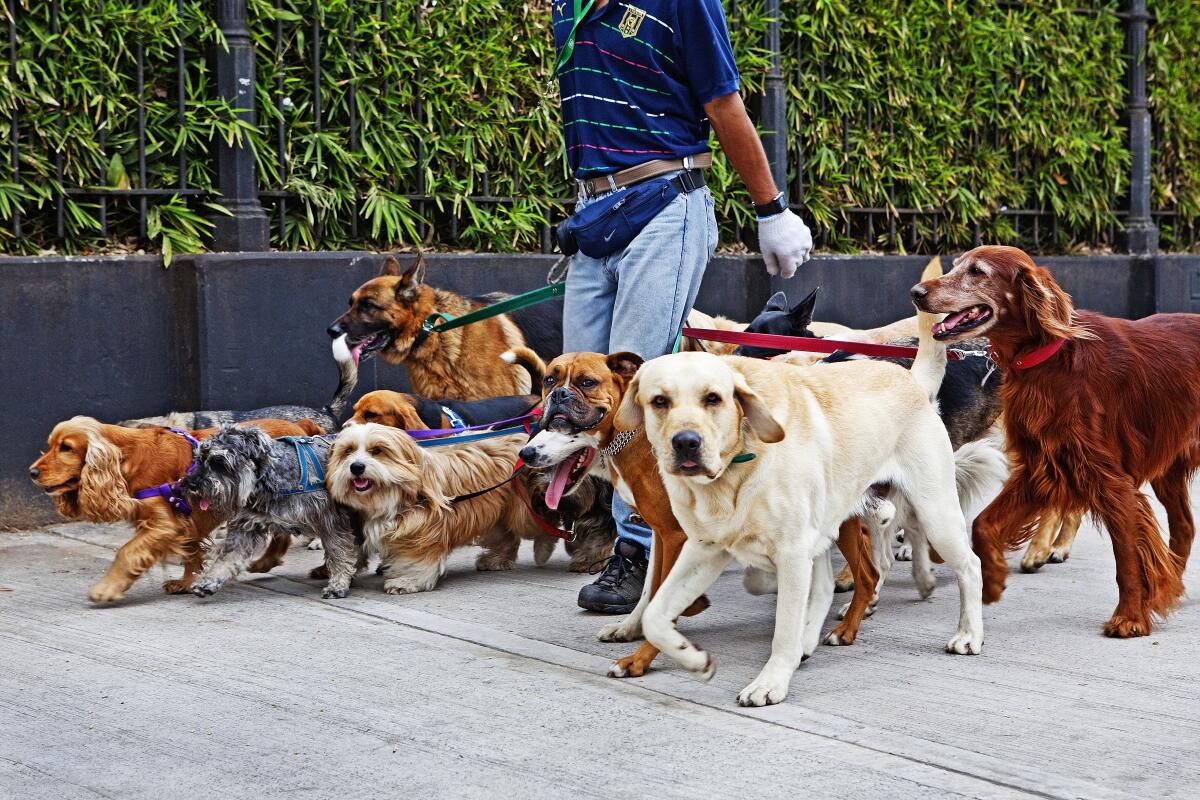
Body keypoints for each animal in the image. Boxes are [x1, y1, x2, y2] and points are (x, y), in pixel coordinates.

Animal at [619, 316, 984, 705]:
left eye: (713, 399)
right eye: (659, 401)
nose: (686, 442)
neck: (737, 467)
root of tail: (912, 378)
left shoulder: (792, 552)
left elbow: (783, 627)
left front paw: (770, 683)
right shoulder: (703, 549)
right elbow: (654, 614)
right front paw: (692, 657)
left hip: (935, 514)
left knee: (970, 565)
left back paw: (968, 634)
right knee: (823, 587)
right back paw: (807, 640)